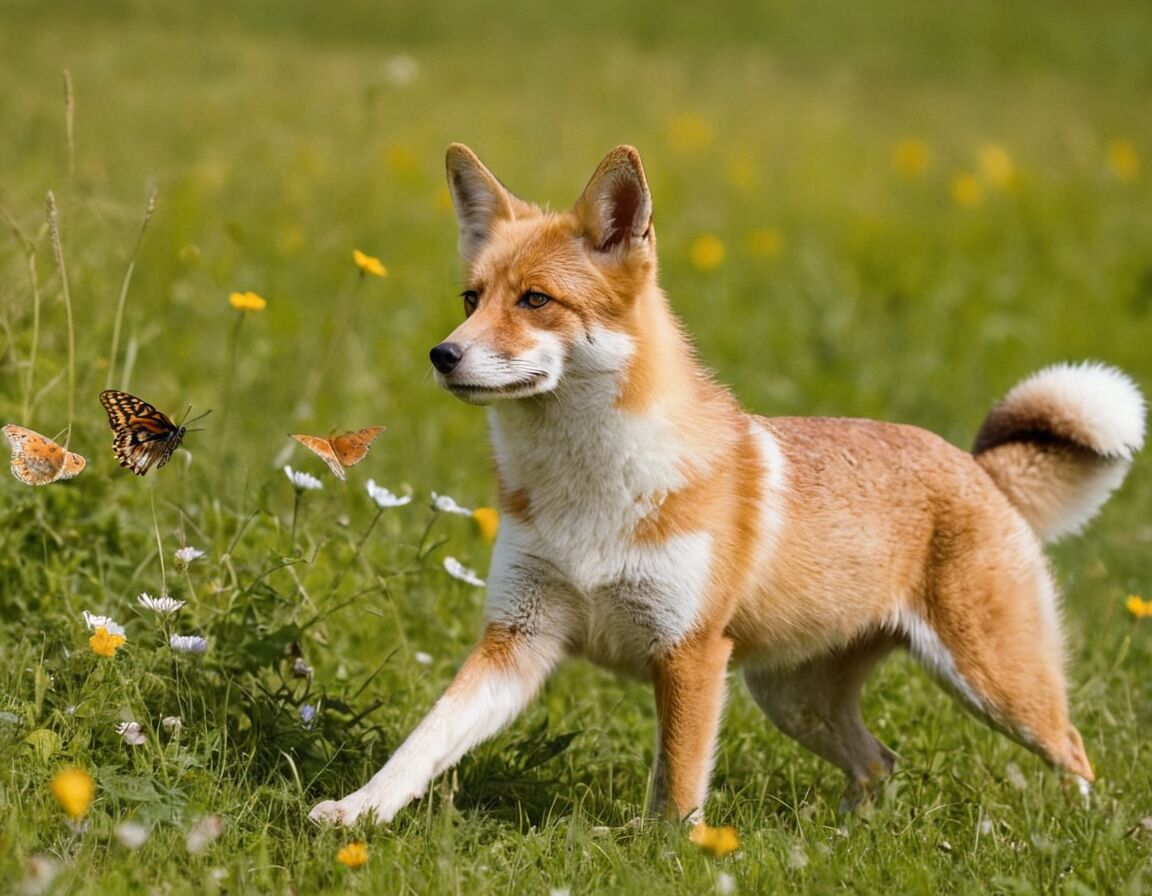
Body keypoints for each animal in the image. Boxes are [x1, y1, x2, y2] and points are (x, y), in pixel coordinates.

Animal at [310, 144, 1146, 827]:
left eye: (535, 300)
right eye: (470, 299)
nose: (442, 355)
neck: (593, 497)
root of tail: (974, 467)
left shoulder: (688, 654)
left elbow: (678, 787)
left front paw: (669, 856)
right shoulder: (520, 639)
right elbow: (425, 743)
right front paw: (358, 812)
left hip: (997, 689)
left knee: (1074, 753)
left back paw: (1079, 833)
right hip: (791, 701)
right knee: (879, 764)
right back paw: (845, 837)